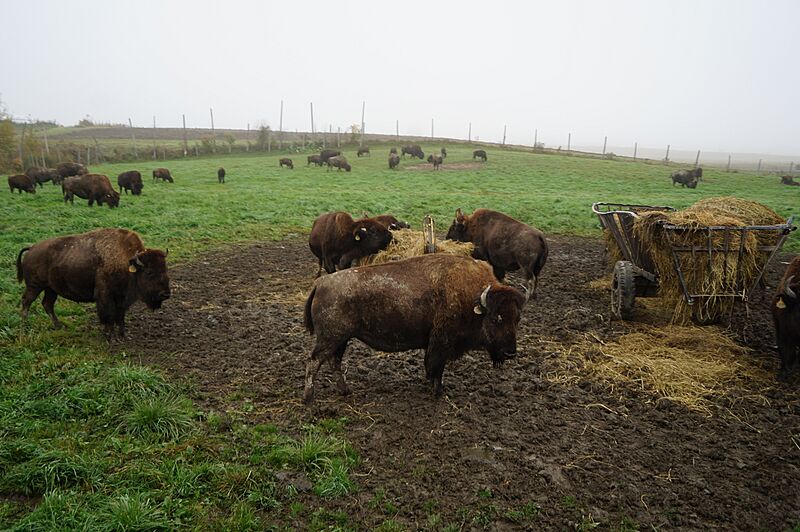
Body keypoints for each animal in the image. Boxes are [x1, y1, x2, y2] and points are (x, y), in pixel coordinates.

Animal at [17, 228, 170, 339]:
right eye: (149, 272)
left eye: (165, 269)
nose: (166, 294)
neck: (126, 262)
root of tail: (32, 248)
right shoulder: (105, 296)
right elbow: (108, 316)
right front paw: (110, 336)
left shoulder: (121, 299)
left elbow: (120, 317)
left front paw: (124, 335)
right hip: (34, 286)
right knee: (26, 302)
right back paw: (25, 327)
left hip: (51, 289)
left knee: (47, 304)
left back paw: (59, 326)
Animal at [302, 254, 526, 402]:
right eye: (496, 318)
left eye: (517, 319)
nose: (510, 352)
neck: (473, 299)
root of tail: (320, 283)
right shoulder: (441, 343)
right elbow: (436, 367)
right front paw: (438, 392)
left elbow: (433, 367)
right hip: (331, 338)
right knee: (314, 361)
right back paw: (308, 398)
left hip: (341, 339)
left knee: (333, 362)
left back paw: (345, 391)